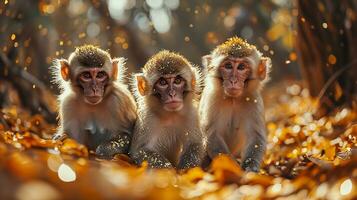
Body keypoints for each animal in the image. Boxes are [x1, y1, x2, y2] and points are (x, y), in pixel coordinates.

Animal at [200, 37, 270, 172]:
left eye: (241, 67)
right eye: (228, 66)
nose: (233, 80)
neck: (233, 100)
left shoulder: (254, 101)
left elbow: (255, 137)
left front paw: (250, 170)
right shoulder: (212, 97)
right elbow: (212, 135)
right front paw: (233, 168)